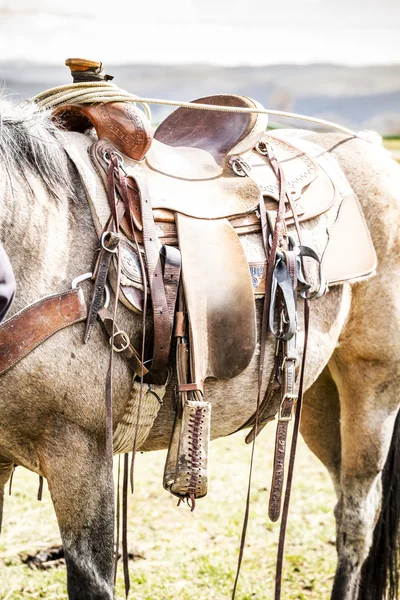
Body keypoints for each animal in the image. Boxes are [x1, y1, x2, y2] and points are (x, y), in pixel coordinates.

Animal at [0, 99, 400, 600]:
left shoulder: (81, 454)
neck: (39, 240)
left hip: (373, 386)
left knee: (357, 517)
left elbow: (92, 581)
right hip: (320, 400)